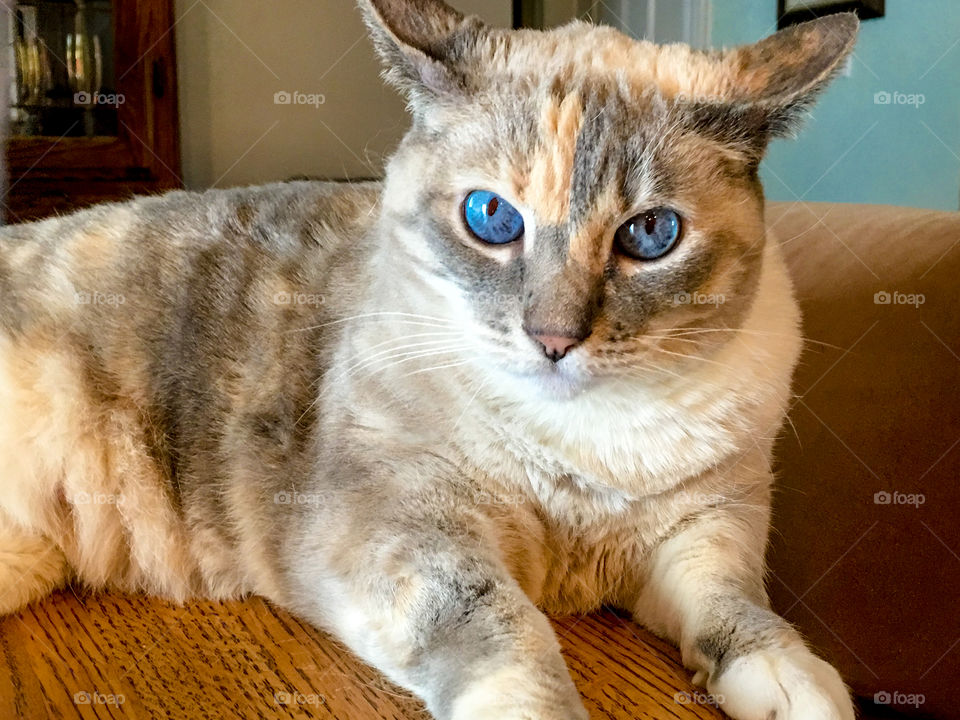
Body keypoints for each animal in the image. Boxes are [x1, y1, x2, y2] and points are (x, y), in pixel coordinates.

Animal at [0, 1, 860, 720]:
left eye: (651, 235)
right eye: (491, 218)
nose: (554, 339)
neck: (584, 446)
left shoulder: (707, 525)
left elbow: (736, 607)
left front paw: (794, 685)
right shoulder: (409, 527)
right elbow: (509, 633)